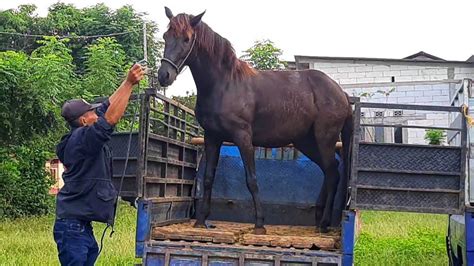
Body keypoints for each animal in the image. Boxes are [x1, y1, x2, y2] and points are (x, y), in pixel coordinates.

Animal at [156, 7, 352, 234]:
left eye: (187, 39)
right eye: (165, 36)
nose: (164, 75)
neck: (225, 84)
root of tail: (341, 93)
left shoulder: (243, 138)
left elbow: (252, 180)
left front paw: (259, 223)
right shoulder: (212, 138)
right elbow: (208, 178)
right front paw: (201, 220)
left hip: (324, 138)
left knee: (333, 173)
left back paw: (325, 223)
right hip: (307, 142)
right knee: (329, 170)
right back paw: (320, 217)